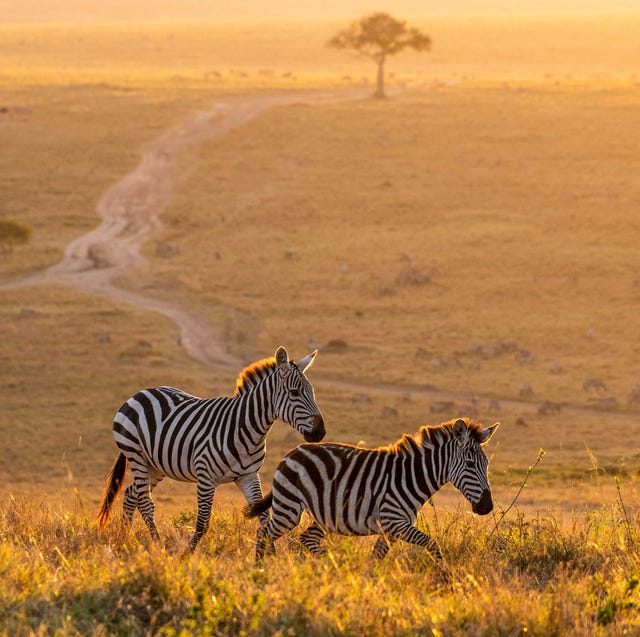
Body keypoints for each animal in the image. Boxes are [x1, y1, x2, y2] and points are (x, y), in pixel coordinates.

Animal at [95, 346, 324, 548]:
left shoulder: (248, 476)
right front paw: (186, 555)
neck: (246, 428)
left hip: (156, 466)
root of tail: (140, 393)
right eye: (294, 393)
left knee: (131, 494)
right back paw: (157, 546)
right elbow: (202, 524)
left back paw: (124, 538)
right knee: (145, 503)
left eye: (312, 392)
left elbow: (263, 517)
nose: (320, 432)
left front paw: (268, 555)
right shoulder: (206, 477)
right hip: (137, 456)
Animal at [246, 418, 500, 560]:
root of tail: (292, 452)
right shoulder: (394, 522)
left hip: (325, 516)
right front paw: (449, 581)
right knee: (263, 533)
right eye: (469, 464)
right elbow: (432, 544)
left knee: (306, 538)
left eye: (487, 464)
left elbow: (375, 559)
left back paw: (331, 567)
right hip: (288, 509)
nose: (487, 507)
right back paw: (260, 570)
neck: (412, 476)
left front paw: (368, 585)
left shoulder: (390, 530)